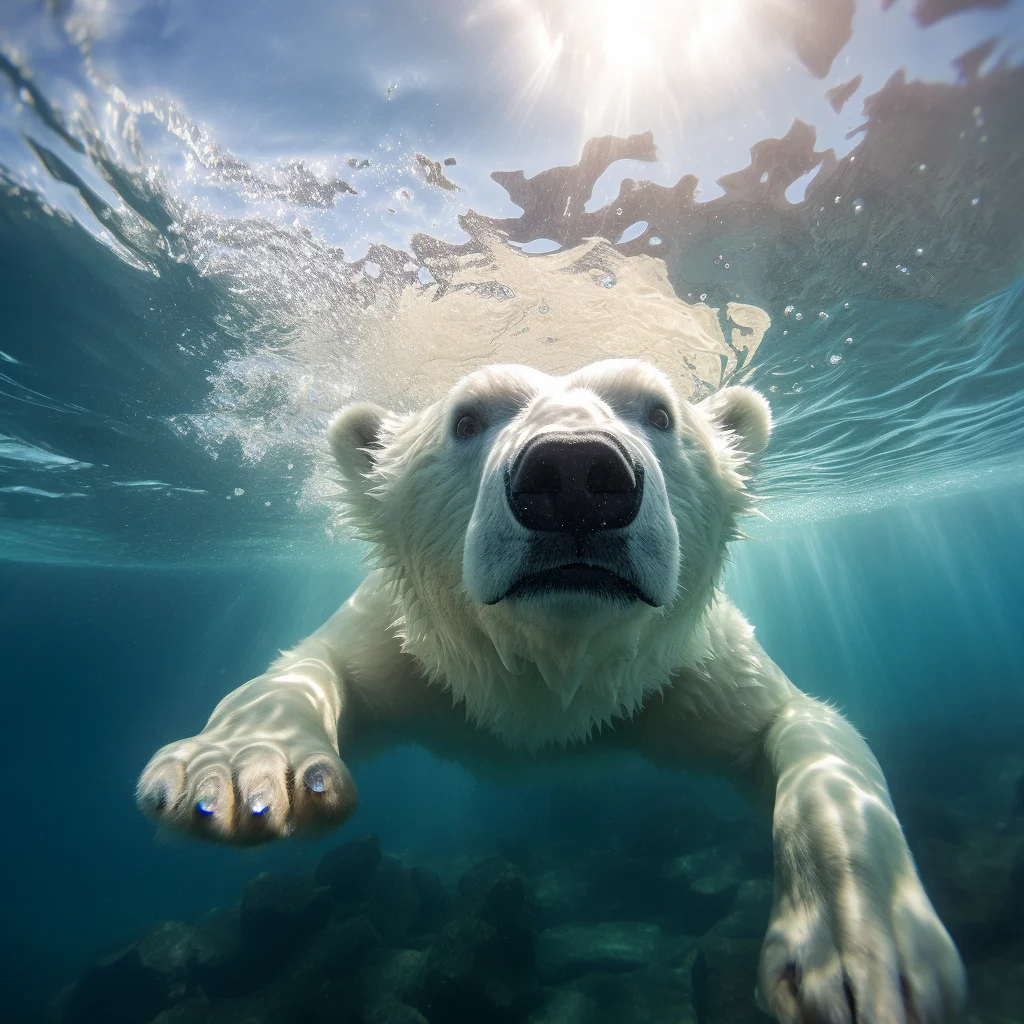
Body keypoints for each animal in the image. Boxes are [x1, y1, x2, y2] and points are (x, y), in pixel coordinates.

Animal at [138, 359, 965, 1023]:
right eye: (467, 418)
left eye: (660, 411)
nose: (573, 477)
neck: (553, 675)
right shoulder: (412, 646)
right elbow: (319, 665)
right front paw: (236, 773)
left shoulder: (678, 668)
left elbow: (798, 728)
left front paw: (857, 957)